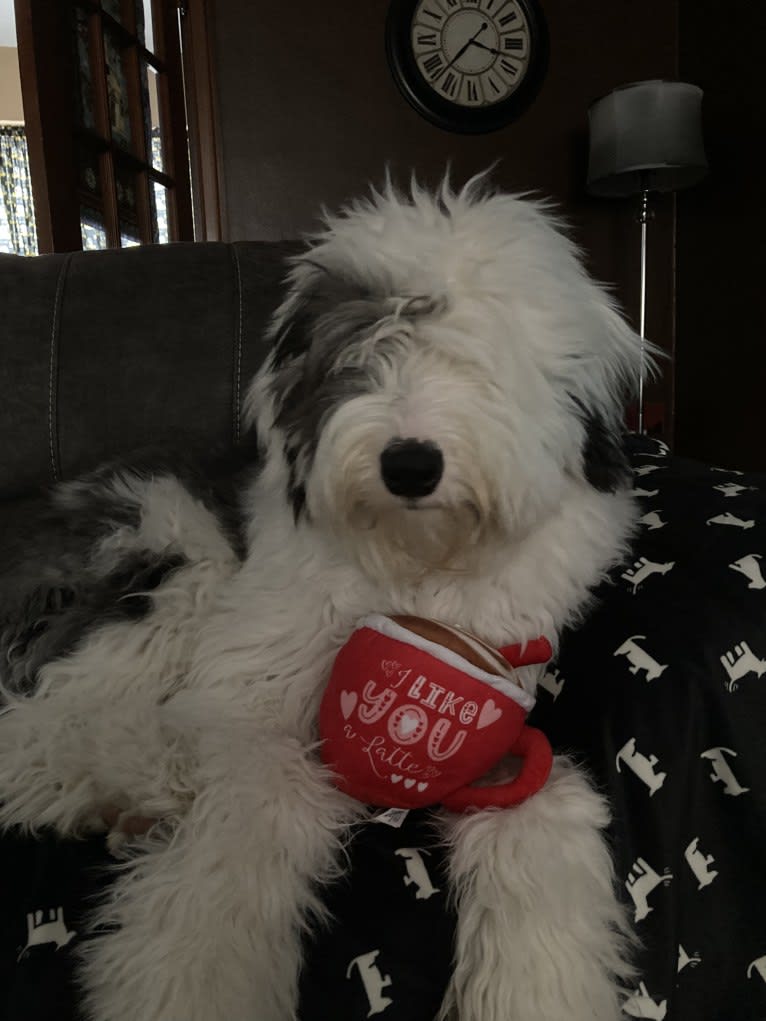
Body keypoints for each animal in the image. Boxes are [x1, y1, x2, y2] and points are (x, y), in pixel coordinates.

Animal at [0, 179, 649, 1016]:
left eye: (478, 357)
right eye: (361, 352)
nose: (410, 465)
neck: (414, 560)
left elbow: (549, 802)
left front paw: (538, 988)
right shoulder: (248, 682)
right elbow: (260, 802)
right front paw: (192, 978)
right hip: (169, 557)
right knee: (33, 729)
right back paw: (146, 782)